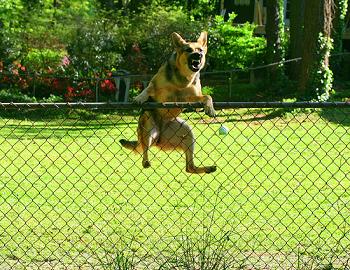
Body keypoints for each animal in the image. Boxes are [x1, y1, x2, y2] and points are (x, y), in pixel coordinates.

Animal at [120, 31, 216, 174]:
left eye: (200, 50)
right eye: (189, 50)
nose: (198, 55)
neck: (182, 79)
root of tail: (159, 137)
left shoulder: (193, 97)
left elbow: (207, 96)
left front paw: (210, 108)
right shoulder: (155, 84)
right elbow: (148, 89)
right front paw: (139, 97)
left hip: (187, 132)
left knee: (189, 167)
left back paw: (207, 168)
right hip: (148, 126)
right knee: (145, 149)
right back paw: (146, 161)